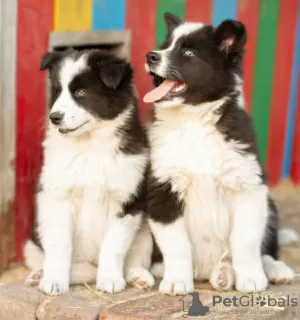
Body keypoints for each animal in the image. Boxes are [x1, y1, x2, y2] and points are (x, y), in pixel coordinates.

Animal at [23, 49, 155, 296]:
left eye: (81, 92)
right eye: (57, 91)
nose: (54, 117)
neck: (91, 145)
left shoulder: (126, 202)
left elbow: (114, 245)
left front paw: (110, 279)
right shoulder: (58, 197)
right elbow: (59, 244)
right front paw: (53, 281)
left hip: (145, 229)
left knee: (132, 259)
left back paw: (138, 276)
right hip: (33, 239)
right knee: (79, 268)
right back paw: (39, 275)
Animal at [144, 14, 294, 296]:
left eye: (188, 53)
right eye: (165, 46)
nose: (151, 55)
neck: (194, 122)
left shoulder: (248, 187)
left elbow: (245, 239)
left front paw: (251, 279)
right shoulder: (163, 191)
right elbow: (176, 244)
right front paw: (177, 281)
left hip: (269, 205)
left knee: (266, 249)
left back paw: (274, 270)